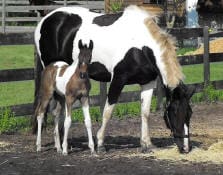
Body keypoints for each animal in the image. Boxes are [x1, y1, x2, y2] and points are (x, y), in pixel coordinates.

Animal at [34, 5, 195, 153]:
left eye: (189, 113)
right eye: (174, 112)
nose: (186, 148)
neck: (140, 46)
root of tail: (44, 20)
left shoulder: (148, 82)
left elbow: (145, 113)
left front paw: (147, 144)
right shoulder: (118, 80)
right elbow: (107, 112)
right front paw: (100, 144)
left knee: (56, 111)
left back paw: (61, 144)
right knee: (53, 110)